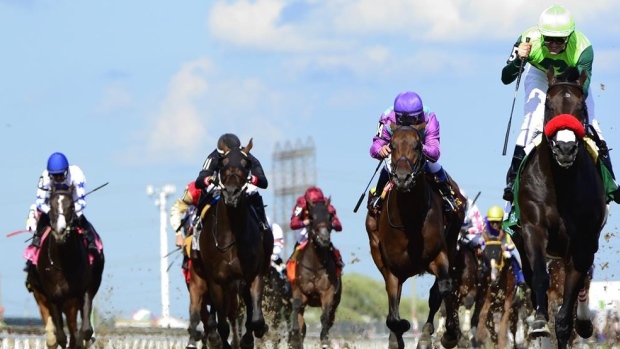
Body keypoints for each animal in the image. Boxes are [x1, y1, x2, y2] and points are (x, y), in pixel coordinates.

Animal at [26, 184, 103, 346]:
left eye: (72, 206)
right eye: (51, 205)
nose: (60, 231)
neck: (63, 262)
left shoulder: (82, 292)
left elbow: (85, 331)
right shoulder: (53, 296)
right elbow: (61, 336)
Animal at [195, 139, 270, 348]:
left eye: (246, 164)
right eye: (222, 164)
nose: (231, 193)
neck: (230, 236)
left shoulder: (254, 275)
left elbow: (255, 318)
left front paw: (254, 333)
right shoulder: (216, 281)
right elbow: (222, 326)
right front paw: (218, 340)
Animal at [288, 198, 342, 348]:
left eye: (330, 216)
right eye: (311, 217)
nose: (324, 238)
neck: (315, 265)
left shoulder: (328, 292)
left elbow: (325, 317)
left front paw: (325, 340)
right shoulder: (300, 290)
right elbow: (296, 307)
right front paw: (294, 336)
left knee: (330, 318)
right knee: (302, 322)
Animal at [364, 124, 464, 348]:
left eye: (417, 146)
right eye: (391, 145)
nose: (402, 178)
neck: (409, 220)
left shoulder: (438, 255)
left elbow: (443, 289)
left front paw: (449, 334)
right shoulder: (391, 268)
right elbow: (393, 314)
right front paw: (400, 330)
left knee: (436, 293)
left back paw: (426, 335)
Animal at [512, 66, 604, 346]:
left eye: (581, 107)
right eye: (549, 106)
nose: (565, 148)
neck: (560, 186)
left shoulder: (582, 243)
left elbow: (565, 316)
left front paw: (572, 324)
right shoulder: (533, 229)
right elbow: (540, 278)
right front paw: (539, 323)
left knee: (584, 283)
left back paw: (583, 322)